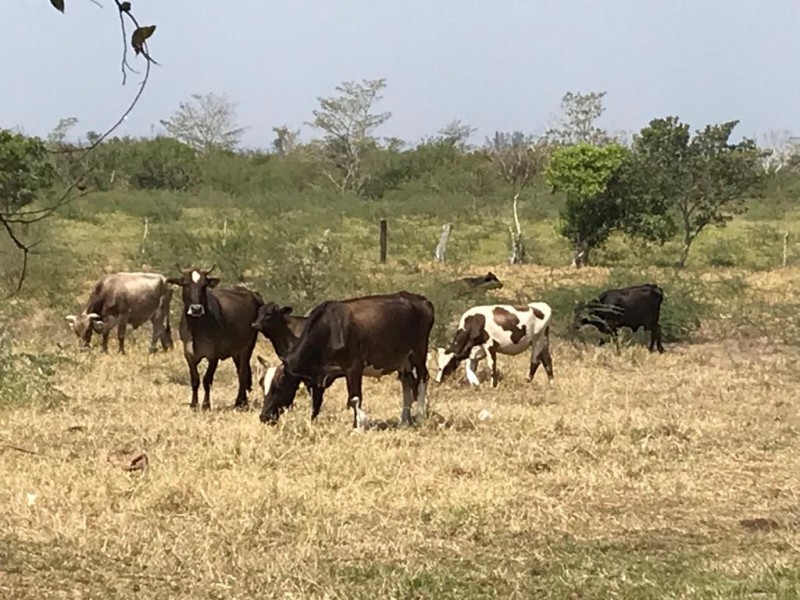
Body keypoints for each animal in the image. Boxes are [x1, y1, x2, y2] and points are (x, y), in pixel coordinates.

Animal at [167, 268, 264, 412]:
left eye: (204, 285)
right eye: (185, 284)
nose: (196, 309)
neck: (196, 328)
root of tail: (253, 294)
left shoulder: (214, 355)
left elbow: (207, 379)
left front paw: (206, 405)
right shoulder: (188, 354)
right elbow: (195, 380)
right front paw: (194, 404)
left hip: (247, 346)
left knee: (242, 373)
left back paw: (240, 403)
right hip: (235, 351)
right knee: (240, 371)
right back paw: (242, 401)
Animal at [258, 292, 434, 428]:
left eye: (278, 386)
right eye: (262, 385)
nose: (264, 417)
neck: (329, 329)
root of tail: (422, 300)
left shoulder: (354, 368)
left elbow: (355, 398)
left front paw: (358, 426)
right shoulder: (317, 377)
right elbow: (316, 403)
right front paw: (312, 423)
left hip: (418, 353)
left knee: (422, 380)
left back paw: (421, 415)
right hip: (403, 361)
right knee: (407, 383)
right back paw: (404, 421)